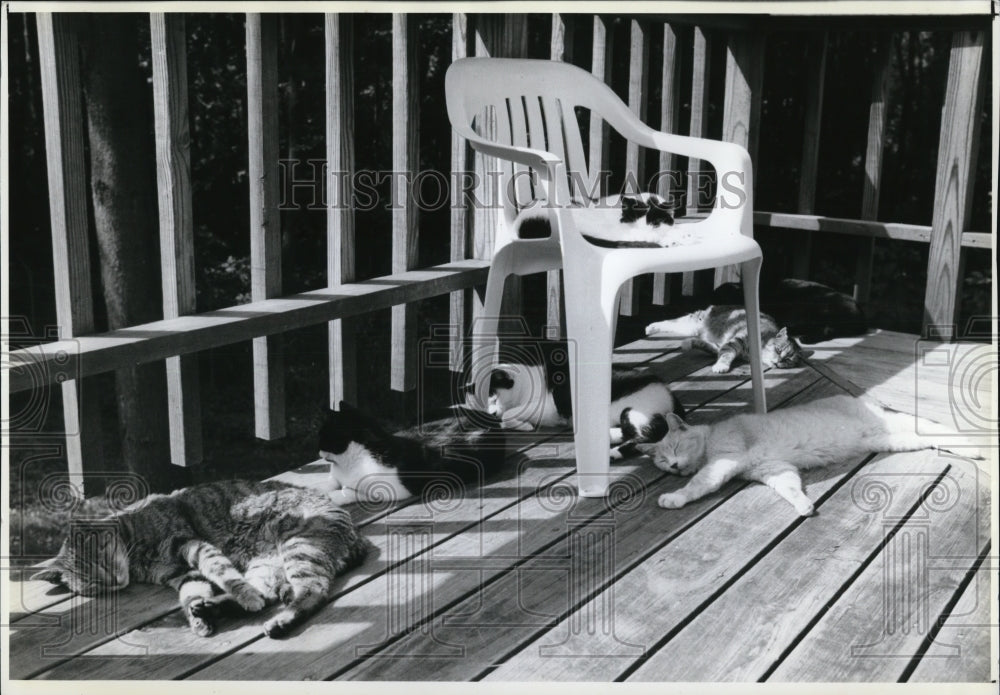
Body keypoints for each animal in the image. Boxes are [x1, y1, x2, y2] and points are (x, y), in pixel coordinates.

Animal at [34, 482, 376, 640]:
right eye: (93, 584)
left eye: (103, 557)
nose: (115, 580)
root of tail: (357, 535)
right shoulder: (181, 574)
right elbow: (192, 592)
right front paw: (196, 617)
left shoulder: (189, 544)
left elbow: (222, 571)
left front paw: (242, 595)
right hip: (267, 564)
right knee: (270, 594)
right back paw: (212, 608)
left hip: (299, 547)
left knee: (312, 593)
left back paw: (277, 619)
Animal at [318, 402, 508, 506]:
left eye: (322, 438)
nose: (319, 452)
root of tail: (489, 418)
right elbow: (331, 480)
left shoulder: (394, 491)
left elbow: (355, 492)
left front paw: (337, 495)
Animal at [640, 396, 984, 516]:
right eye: (663, 463)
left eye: (674, 449)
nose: (673, 466)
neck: (710, 437)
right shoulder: (775, 469)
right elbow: (791, 488)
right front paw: (804, 506)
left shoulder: (724, 460)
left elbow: (700, 483)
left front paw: (675, 497)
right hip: (891, 441)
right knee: (924, 439)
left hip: (895, 425)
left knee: (937, 429)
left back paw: (975, 449)